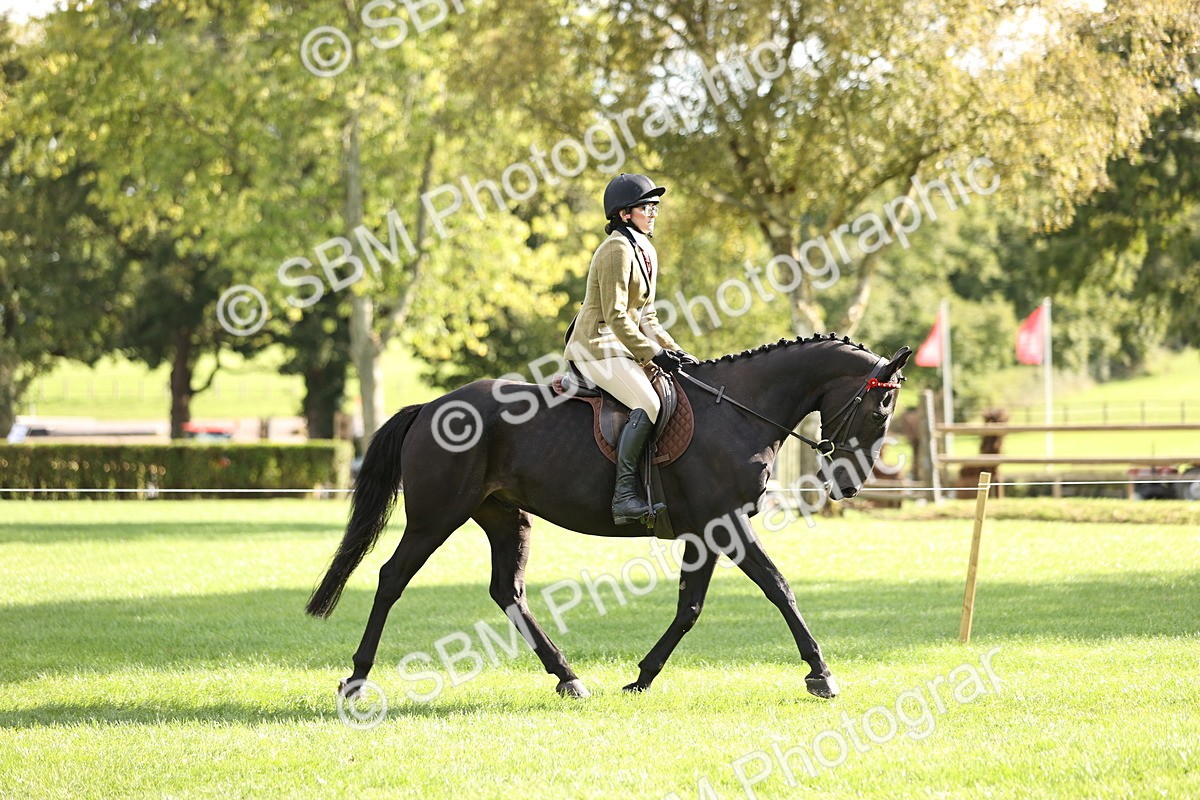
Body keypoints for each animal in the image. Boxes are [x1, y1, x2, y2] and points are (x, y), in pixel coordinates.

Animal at [306, 334, 912, 701]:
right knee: (391, 578)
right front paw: (821, 674)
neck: (739, 413)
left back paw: (569, 677)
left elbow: (690, 607)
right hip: (435, 518)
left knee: (508, 591)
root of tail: (430, 407)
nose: (849, 485)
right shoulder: (726, 525)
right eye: (880, 410)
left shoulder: (706, 532)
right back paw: (356, 678)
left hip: (504, 518)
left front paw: (642, 677)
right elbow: (779, 587)